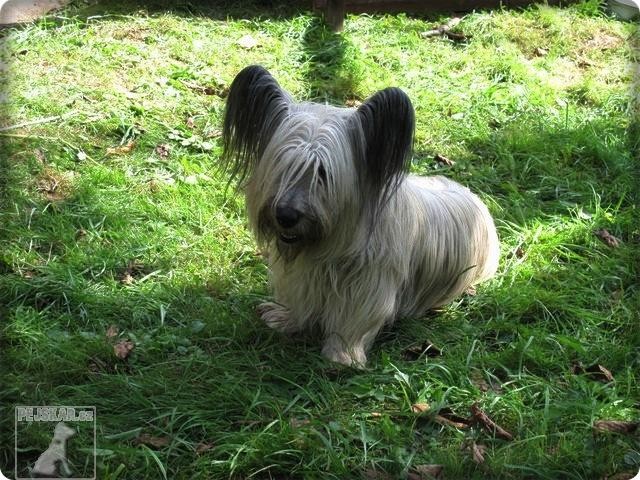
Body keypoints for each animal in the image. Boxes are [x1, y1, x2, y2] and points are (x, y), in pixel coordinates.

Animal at [221, 65, 500, 368]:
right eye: (283, 165)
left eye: (322, 173)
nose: (285, 216)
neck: (326, 244)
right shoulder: (301, 275)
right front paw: (287, 319)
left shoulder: (369, 282)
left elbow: (356, 317)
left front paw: (342, 353)